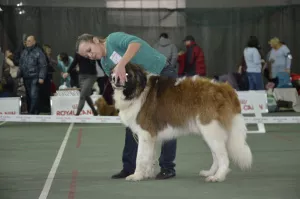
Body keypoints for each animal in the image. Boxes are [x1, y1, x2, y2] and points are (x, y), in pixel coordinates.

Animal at [110, 63, 251, 183]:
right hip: (209, 133)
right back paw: (210, 172)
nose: (114, 79)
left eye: (126, 74)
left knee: (223, 157)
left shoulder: (145, 134)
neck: (139, 89)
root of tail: (225, 88)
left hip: (210, 129)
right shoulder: (151, 137)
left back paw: (217, 177)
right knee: (216, 155)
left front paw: (136, 175)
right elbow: (150, 155)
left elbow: (140, 157)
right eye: (114, 72)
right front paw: (147, 173)